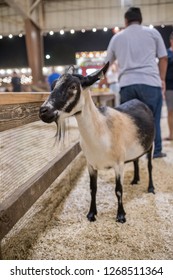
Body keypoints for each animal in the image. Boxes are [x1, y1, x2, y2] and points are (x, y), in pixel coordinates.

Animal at [39, 63, 155, 223]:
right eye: (53, 84)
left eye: (72, 86)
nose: (43, 111)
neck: (102, 129)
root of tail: (139, 101)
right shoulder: (91, 164)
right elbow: (92, 189)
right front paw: (91, 214)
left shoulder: (118, 164)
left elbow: (118, 190)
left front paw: (121, 216)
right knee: (136, 160)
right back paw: (135, 180)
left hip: (151, 145)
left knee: (149, 166)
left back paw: (150, 188)